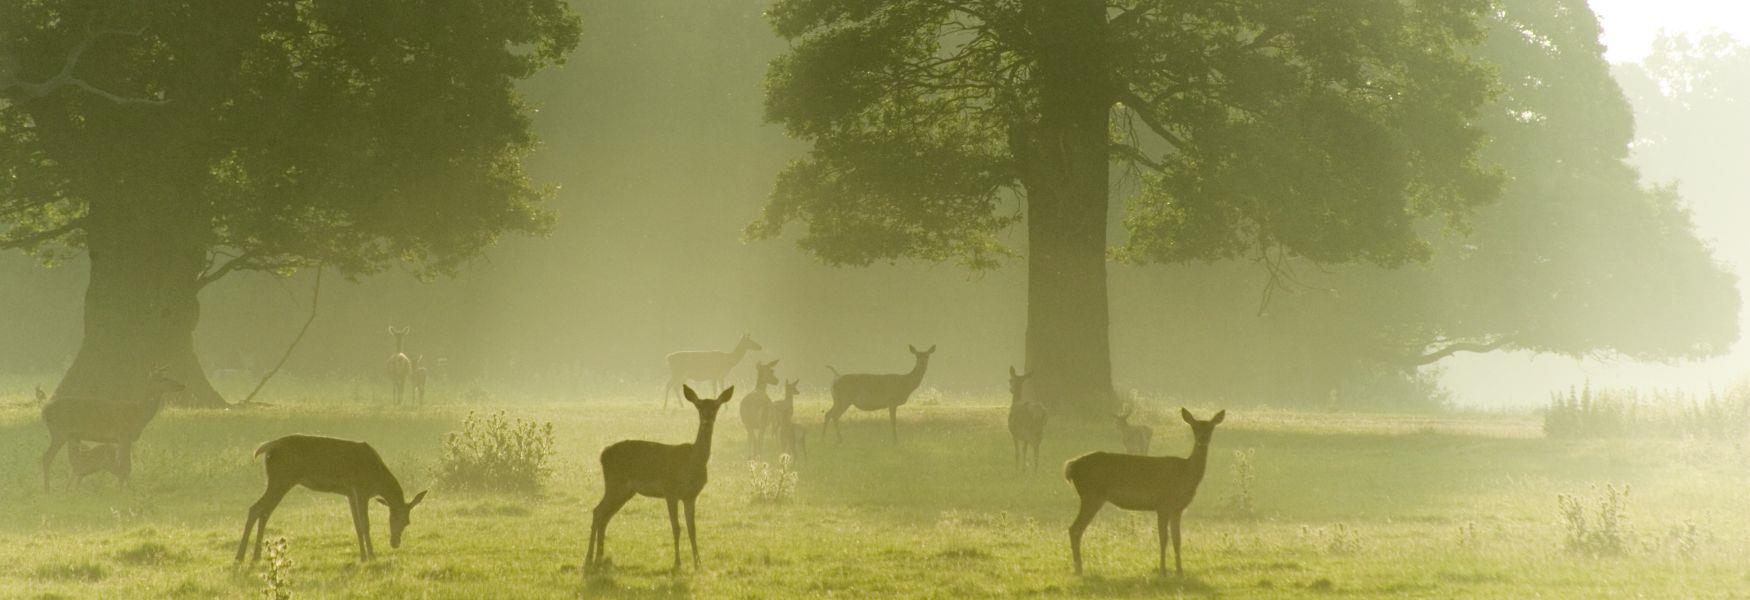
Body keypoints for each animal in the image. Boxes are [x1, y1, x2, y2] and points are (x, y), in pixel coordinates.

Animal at [40, 369, 184, 489]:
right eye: (162, 379)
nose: (181, 385)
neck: (139, 415)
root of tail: (45, 411)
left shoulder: (120, 440)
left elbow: (122, 465)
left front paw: (122, 486)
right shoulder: (124, 435)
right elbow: (126, 466)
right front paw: (126, 489)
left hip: (67, 435)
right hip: (59, 432)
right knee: (46, 457)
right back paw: (47, 489)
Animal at [238, 437, 428, 563]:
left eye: (407, 522)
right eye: (396, 518)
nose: (395, 543)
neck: (378, 478)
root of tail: (267, 448)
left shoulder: (350, 493)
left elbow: (357, 526)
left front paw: (363, 557)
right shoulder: (361, 489)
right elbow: (365, 525)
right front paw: (372, 556)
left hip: (278, 480)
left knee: (264, 512)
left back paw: (256, 556)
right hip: (282, 478)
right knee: (256, 508)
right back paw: (240, 556)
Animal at [584, 384, 728, 573]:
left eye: (716, 406)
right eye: (699, 406)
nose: (707, 418)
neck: (692, 463)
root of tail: (603, 454)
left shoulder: (690, 496)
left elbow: (692, 528)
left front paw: (698, 564)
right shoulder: (670, 490)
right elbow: (676, 527)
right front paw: (677, 564)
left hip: (625, 490)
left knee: (604, 515)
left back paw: (599, 557)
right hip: (615, 483)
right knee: (598, 511)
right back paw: (589, 559)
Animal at [1064, 409, 1232, 577]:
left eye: (1211, 427)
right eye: (1195, 427)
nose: (1203, 440)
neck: (1186, 474)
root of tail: (1071, 465)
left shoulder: (1177, 509)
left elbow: (1177, 539)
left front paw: (1180, 571)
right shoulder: (1163, 504)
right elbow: (1163, 538)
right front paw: (1163, 571)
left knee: (1075, 529)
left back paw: (1078, 568)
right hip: (1091, 495)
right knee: (1074, 529)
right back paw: (1079, 569)